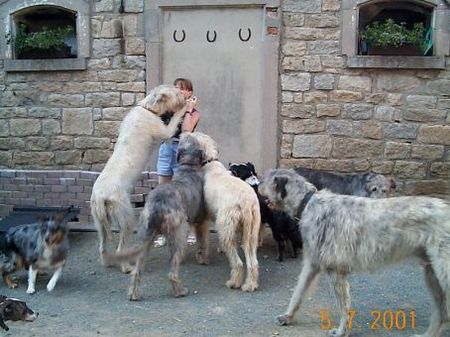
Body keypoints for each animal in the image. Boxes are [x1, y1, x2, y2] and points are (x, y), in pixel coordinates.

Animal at [91, 84, 186, 272]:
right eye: (177, 92)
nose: (185, 97)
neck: (147, 108)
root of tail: (100, 196)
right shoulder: (162, 129)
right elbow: (172, 124)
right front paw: (185, 108)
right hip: (125, 215)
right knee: (120, 246)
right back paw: (126, 267)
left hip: (99, 220)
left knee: (102, 245)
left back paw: (107, 262)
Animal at [103, 132, 208, 300]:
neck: (188, 167)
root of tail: (158, 205)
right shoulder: (200, 220)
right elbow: (203, 240)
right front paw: (203, 258)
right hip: (178, 232)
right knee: (172, 271)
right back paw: (180, 291)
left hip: (145, 234)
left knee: (137, 271)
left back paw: (133, 294)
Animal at [189, 131, 260, 292]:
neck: (210, 163)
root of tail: (246, 202)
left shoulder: (204, 218)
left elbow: (202, 238)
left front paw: (202, 258)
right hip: (251, 231)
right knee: (252, 261)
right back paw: (250, 285)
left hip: (227, 225)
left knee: (238, 262)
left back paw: (234, 282)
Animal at [258, 169, 450, 336]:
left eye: (267, 179)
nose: (257, 183)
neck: (308, 202)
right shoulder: (312, 263)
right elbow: (298, 292)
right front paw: (288, 316)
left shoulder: (335, 270)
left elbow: (344, 305)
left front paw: (342, 331)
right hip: (432, 273)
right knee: (442, 315)